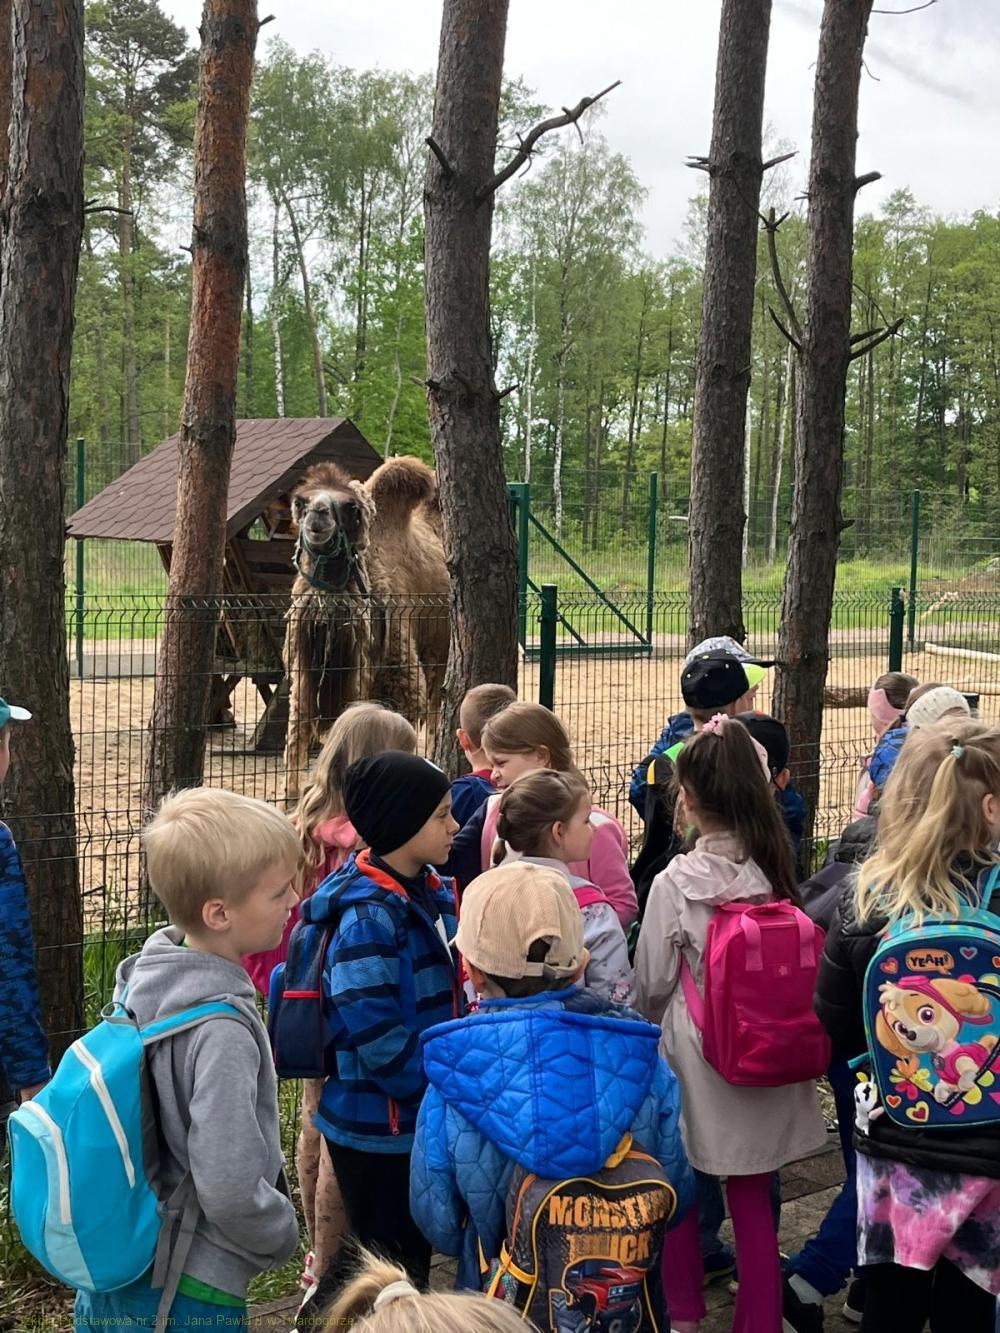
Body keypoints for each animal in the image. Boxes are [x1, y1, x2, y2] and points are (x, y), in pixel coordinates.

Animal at [282, 455, 449, 799]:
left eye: (351, 508)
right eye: (300, 502)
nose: (318, 515)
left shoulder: (402, 682)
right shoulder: (304, 679)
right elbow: (298, 739)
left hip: (441, 652)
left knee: (437, 706)